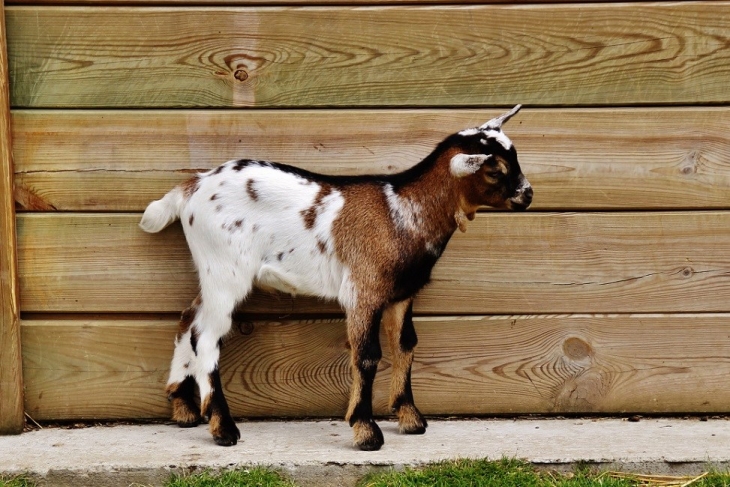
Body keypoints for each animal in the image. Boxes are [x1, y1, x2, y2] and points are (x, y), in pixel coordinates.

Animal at [139, 105, 532, 452]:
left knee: (189, 319)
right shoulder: (363, 290)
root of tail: (193, 186)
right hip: (225, 270)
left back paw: (184, 409)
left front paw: (410, 418)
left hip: (212, 273)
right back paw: (222, 428)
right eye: (494, 171)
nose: (528, 195)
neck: (402, 212)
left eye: (514, 158)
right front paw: (366, 431)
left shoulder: (402, 293)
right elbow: (367, 354)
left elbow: (405, 343)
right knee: (207, 337)